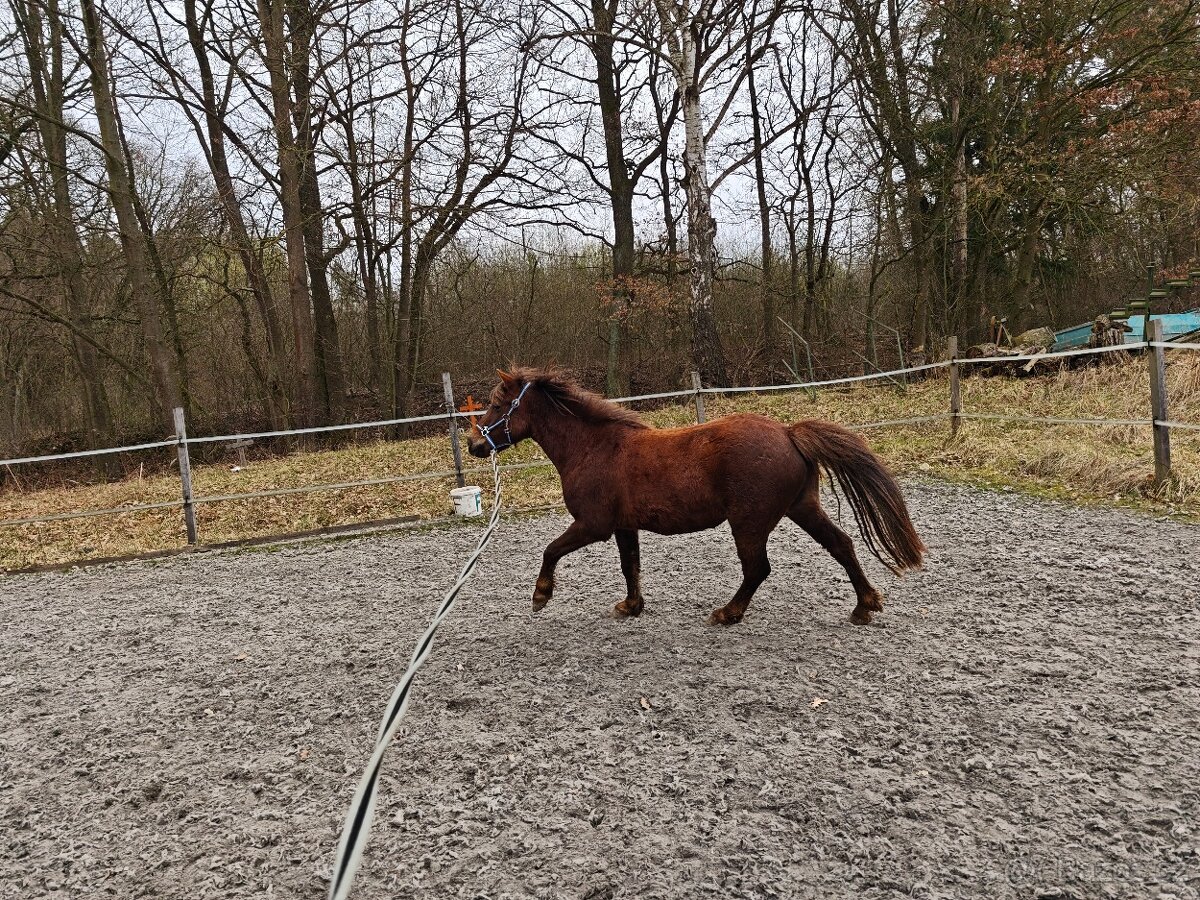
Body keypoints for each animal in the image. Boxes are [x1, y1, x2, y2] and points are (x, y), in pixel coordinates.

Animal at [466, 366, 924, 626]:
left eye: (496, 405)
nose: (473, 445)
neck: (593, 447)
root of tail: (788, 433)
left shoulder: (592, 525)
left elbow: (551, 550)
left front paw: (541, 596)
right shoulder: (623, 526)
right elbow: (630, 566)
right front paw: (631, 606)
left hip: (750, 523)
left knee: (758, 569)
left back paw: (728, 614)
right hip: (802, 508)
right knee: (841, 546)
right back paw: (865, 606)